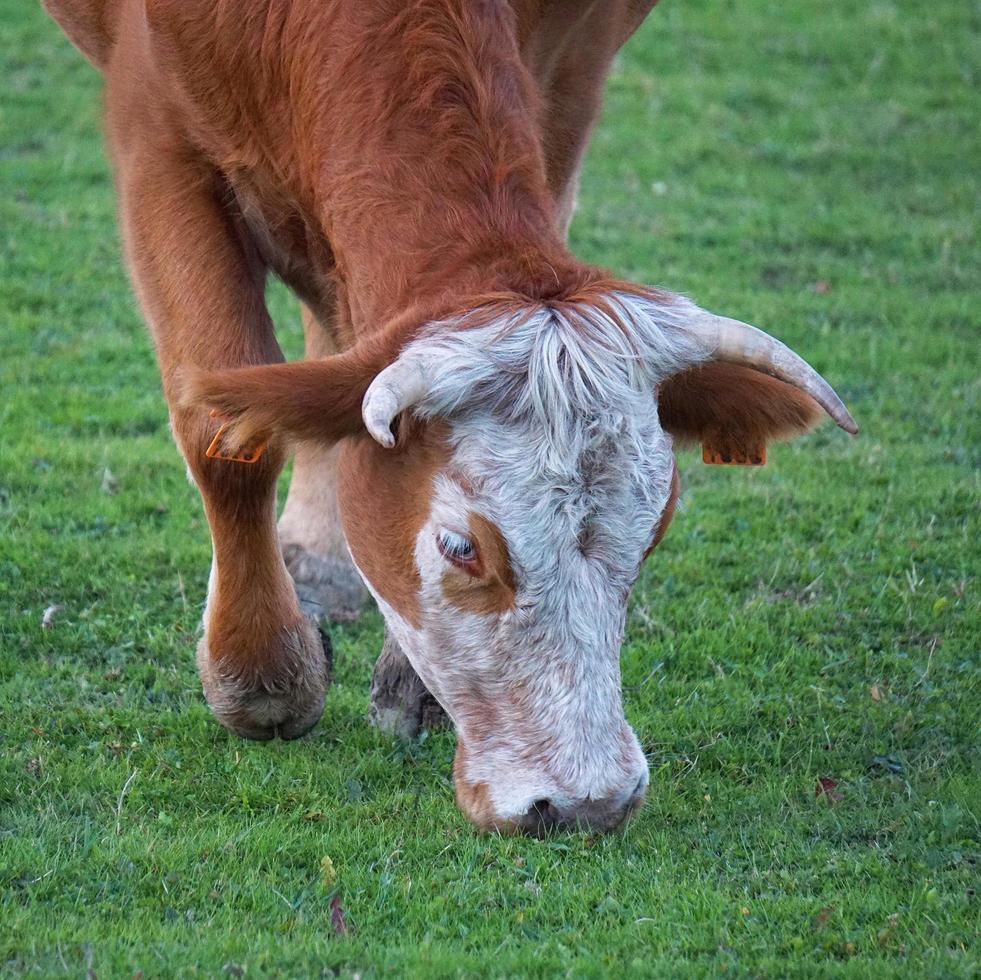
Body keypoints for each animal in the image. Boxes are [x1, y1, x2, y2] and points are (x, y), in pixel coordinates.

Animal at [42, 0, 852, 836]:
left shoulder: (569, 68)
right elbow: (226, 431)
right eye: (460, 548)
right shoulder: (155, 130)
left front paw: (410, 688)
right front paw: (261, 677)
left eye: (653, 531)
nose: (587, 801)